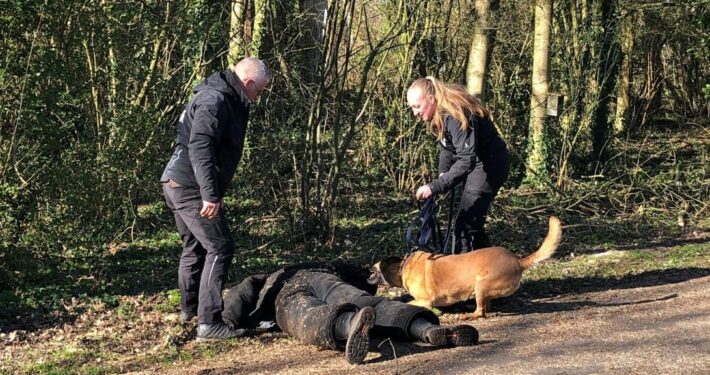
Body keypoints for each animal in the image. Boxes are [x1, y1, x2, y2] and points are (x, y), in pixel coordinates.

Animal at [370, 216, 564, 318]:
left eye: (373, 271)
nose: (366, 275)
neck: (402, 266)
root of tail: (518, 261)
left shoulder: (424, 301)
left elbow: (409, 303)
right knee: (485, 307)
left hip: (481, 285)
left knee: (481, 311)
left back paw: (467, 314)